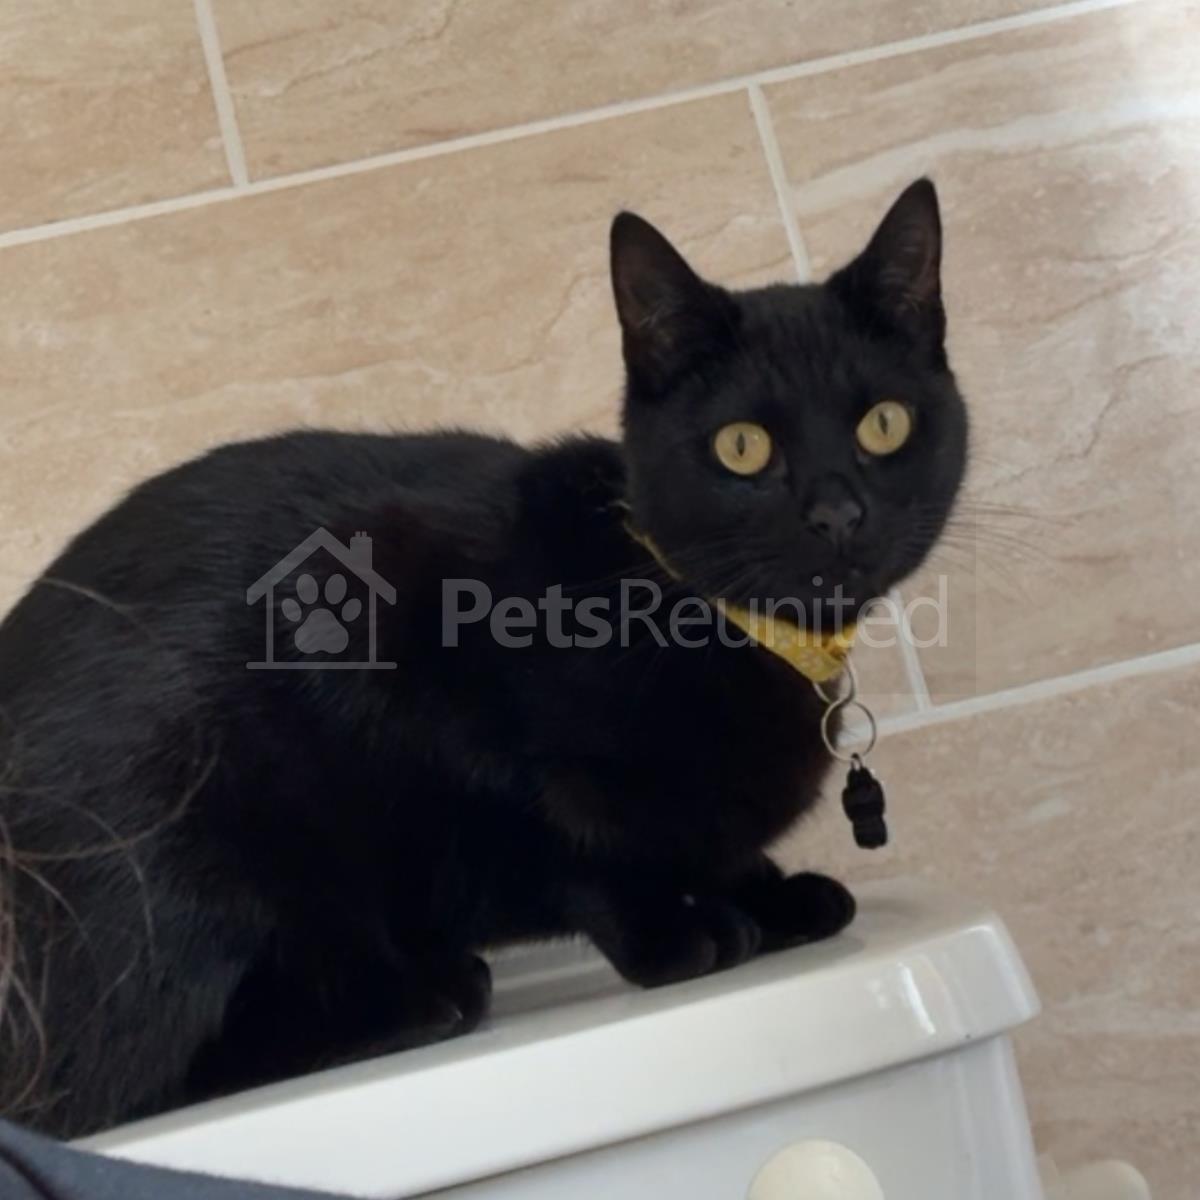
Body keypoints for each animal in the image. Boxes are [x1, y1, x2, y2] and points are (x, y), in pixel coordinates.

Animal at [0, 179, 966, 1139]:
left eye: (884, 425)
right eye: (742, 446)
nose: (837, 514)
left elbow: (708, 844)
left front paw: (771, 894)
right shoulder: (419, 662)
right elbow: (572, 839)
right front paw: (675, 930)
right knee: (120, 1081)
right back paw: (415, 997)